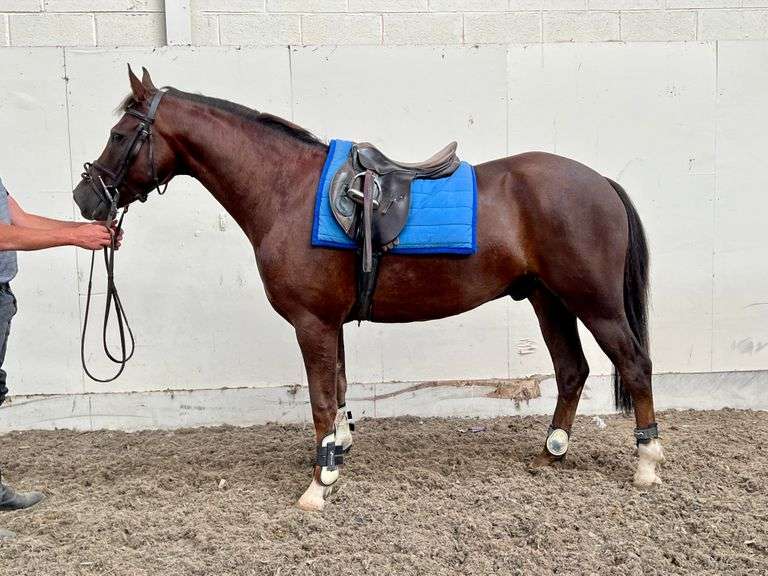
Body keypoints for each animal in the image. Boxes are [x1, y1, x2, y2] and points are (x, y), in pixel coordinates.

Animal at [73, 66, 665, 511]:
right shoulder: (328, 323)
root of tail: (600, 183)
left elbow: (318, 400)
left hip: (594, 302)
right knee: (572, 370)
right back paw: (551, 453)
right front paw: (336, 454)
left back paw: (646, 464)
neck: (288, 190)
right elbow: (336, 389)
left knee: (634, 365)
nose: (86, 198)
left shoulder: (311, 323)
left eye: (120, 135)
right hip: (549, 299)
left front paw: (318, 485)